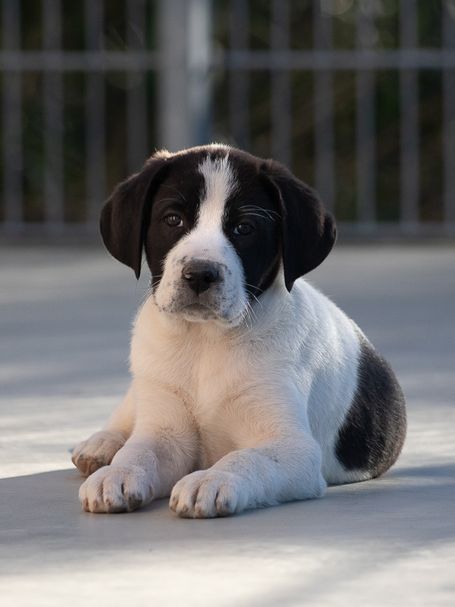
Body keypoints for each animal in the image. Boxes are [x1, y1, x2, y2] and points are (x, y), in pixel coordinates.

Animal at [72, 144, 406, 518]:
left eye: (244, 228)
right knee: (128, 412)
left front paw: (211, 479)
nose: (199, 274)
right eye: (173, 220)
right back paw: (101, 445)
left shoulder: (292, 447)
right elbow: (139, 450)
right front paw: (118, 472)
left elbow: (246, 458)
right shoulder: (164, 431)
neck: (205, 341)